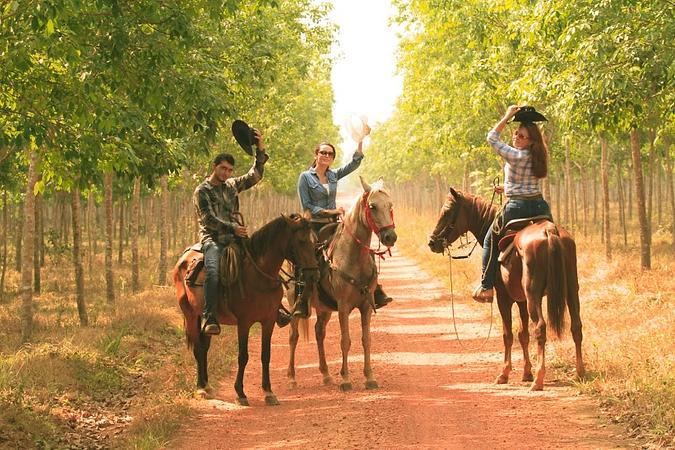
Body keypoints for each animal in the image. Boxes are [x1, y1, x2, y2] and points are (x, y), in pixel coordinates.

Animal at [174, 214, 322, 404]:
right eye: (301, 241)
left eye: (315, 241)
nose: (314, 275)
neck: (259, 276)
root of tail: (183, 259)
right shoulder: (244, 323)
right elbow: (243, 356)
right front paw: (240, 393)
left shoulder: (268, 321)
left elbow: (266, 355)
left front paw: (268, 392)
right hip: (191, 314)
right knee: (198, 348)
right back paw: (200, 388)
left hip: (204, 318)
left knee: (204, 346)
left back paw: (207, 385)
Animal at [286, 178, 396, 392]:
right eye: (372, 206)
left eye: (390, 205)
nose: (390, 237)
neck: (353, 257)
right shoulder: (344, 306)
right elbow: (345, 340)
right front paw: (345, 379)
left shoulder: (366, 306)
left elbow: (366, 340)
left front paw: (370, 377)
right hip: (293, 302)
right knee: (293, 336)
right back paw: (292, 378)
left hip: (324, 308)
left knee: (319, 332)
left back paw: (326, 375)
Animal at [430, 187, 584, 390]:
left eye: (447, 211)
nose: (432, 242)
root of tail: (549, 231)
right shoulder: (521, 300)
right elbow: (523, 334)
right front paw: (526, 373)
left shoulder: (504, 298)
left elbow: (508, 335)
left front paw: (504, 374)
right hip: (571, 290)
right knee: (576, 326)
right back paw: (579, 372)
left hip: (534, 295)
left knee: (540, 328)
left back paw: (539, 379)